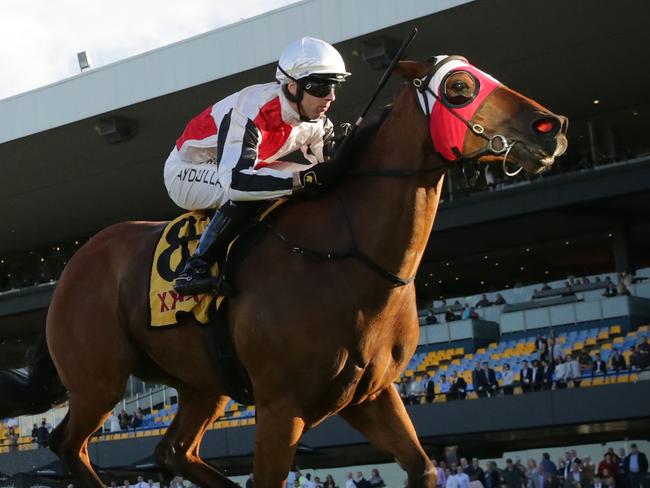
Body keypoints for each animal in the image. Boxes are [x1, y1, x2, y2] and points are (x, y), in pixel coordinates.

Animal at [0, 55, 560, 486]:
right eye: (460, 88)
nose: (550, 128)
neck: (346, 256)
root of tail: (71, 268)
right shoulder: (279, 407)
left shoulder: (371, 396)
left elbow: (422, 468)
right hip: (99, 382)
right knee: (68, 445)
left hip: (203, 385)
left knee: (171, 451)